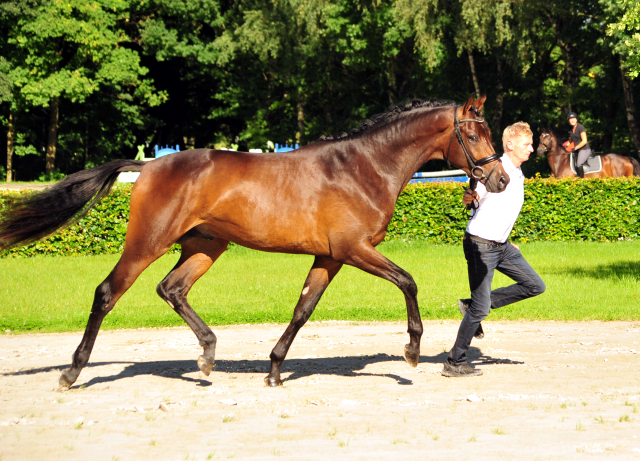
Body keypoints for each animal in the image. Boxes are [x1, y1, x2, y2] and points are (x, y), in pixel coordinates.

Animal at [0, 95, 510, 390]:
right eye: (471, 132)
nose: (500, 179)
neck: (362, 167)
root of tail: (148, 165)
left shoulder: (329, 256)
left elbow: (303, 309)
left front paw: (275, 369)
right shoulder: (354, 249)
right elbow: (407, 281)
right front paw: (412, 350)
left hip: (205, 247)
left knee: (172, 289)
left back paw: (208, 355)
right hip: (148, 243)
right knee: (107, 293)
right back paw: (72, 372)